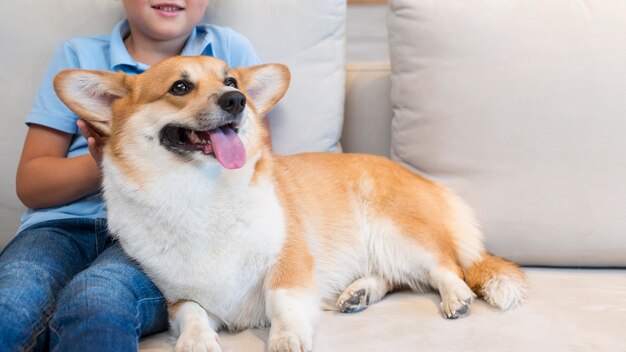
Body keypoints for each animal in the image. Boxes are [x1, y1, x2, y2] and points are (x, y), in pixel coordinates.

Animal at [53, 56, 524, 350]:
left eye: (231, 81)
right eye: (180, 87)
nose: (237, 101)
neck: (200, 193)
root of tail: (426, 181)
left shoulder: (289, 260)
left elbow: (281, 300)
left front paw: (285, 338)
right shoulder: (176, 295)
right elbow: (192, 313)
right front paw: (197, 341)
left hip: (398, 234)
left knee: (447, 267)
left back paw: (454, 297)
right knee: (396, 279)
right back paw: (359, 293)